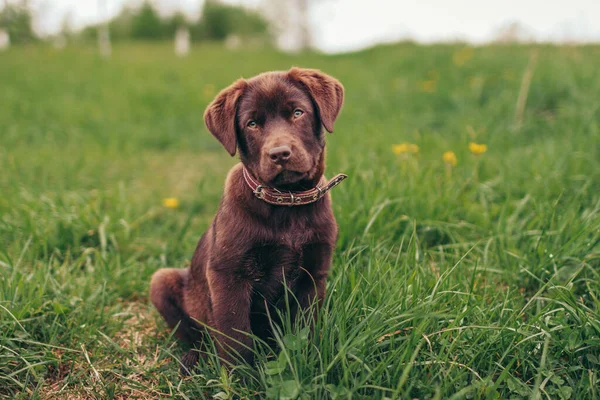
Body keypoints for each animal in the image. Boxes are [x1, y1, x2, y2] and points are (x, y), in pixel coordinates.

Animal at [150, 67, 344, 374]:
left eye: (298, 113)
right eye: (252, 123)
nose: (280, 154)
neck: (286, 202)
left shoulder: (314, 274)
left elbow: (305, 328)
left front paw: (306, 362)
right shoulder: (228, 276)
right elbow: (235, 336)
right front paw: (241, 378)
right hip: (161, 281)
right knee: (197, 336)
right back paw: (194, 359)